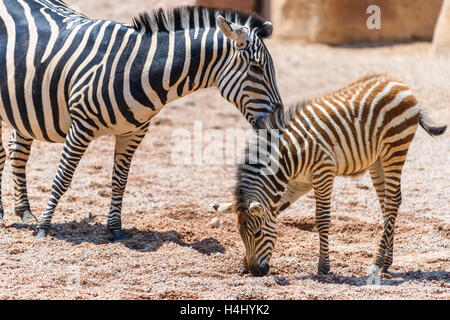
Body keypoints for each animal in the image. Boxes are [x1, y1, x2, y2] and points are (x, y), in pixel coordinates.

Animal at [0, 0, 282, 240]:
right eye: (256, 68)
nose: (276, 121)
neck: (138, 68)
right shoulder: (81, 126)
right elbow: (62, 178)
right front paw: (44, 228)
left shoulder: (133, 132)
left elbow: (120, 182)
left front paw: (115, 229)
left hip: (23, 105)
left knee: (16, 149)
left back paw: (24, 211)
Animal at [214, 74, 446, 276]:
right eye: (241, 235)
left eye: (258, 233)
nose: (255, 271)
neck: (289, 159)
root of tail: (399, 84)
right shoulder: (299, 183)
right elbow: (277, 209)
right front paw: (244, 262)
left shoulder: (323, 173)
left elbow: (322, 219)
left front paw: (323, 267)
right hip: (378, 159)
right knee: (390, 203)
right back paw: (387, 262)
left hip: (395, 149)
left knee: (391, 203)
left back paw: (376, 263)